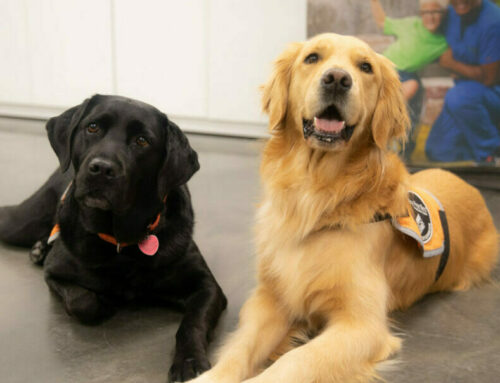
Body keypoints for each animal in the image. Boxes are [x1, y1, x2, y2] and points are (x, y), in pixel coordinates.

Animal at [0, 94, 227, 382]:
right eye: (93, 127)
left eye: (142, 141)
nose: (101, 169)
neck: (122, 241)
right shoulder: (55, 273)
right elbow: (82, 301)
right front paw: (106, 300)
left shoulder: (206, 286)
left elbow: (193, 322)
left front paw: (189, 361)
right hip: (20, 222)